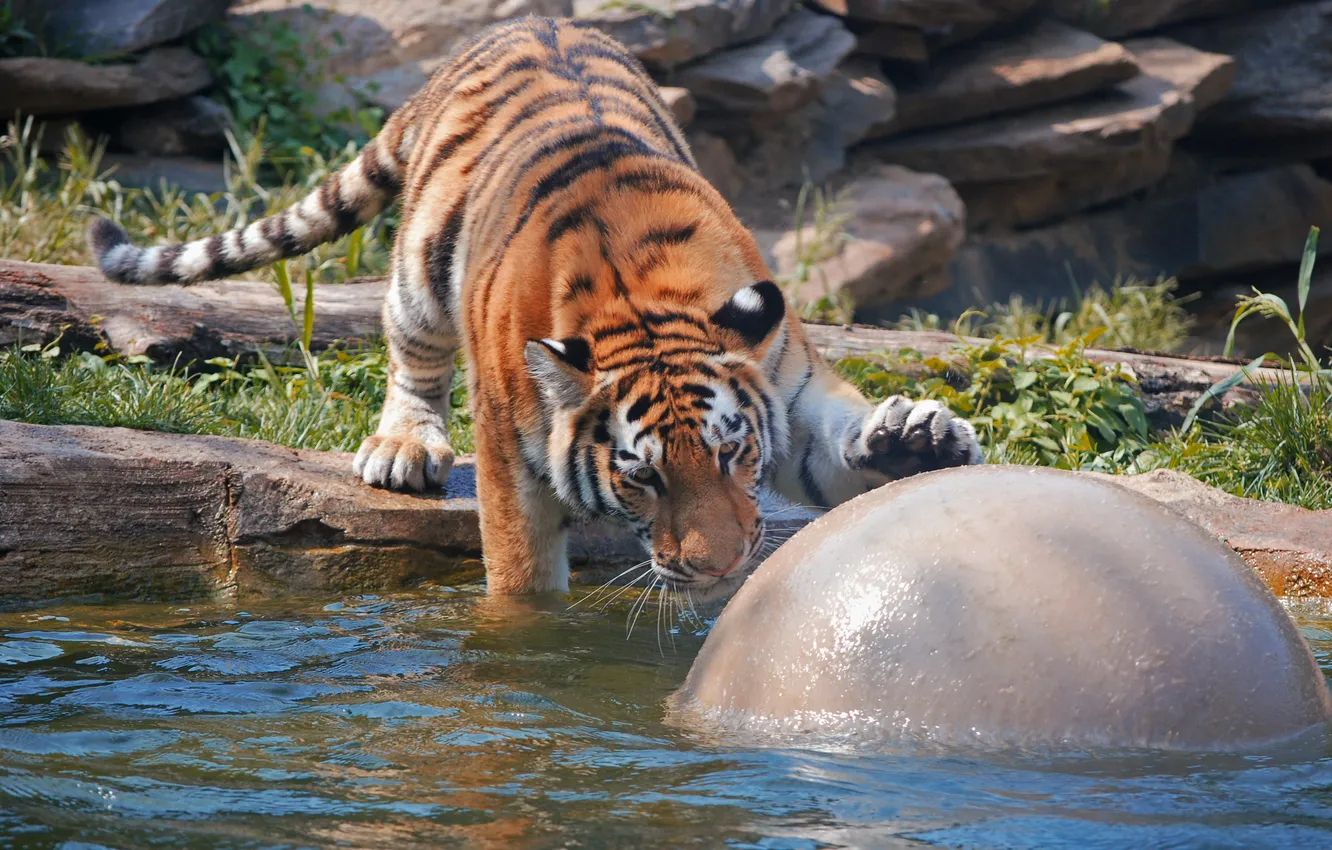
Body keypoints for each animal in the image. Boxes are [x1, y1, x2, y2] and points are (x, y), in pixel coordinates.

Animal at [86, 16, 982, 598]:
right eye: (641, 476)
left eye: (733, 454)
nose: (723, 568)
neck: (647, 305)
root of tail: (515, 26)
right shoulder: (510, 453)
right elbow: (521, 579)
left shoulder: (783, 389)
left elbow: (832, 446)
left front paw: (915, 442)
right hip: (420, 266)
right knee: (410, 350)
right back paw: (403, 447)